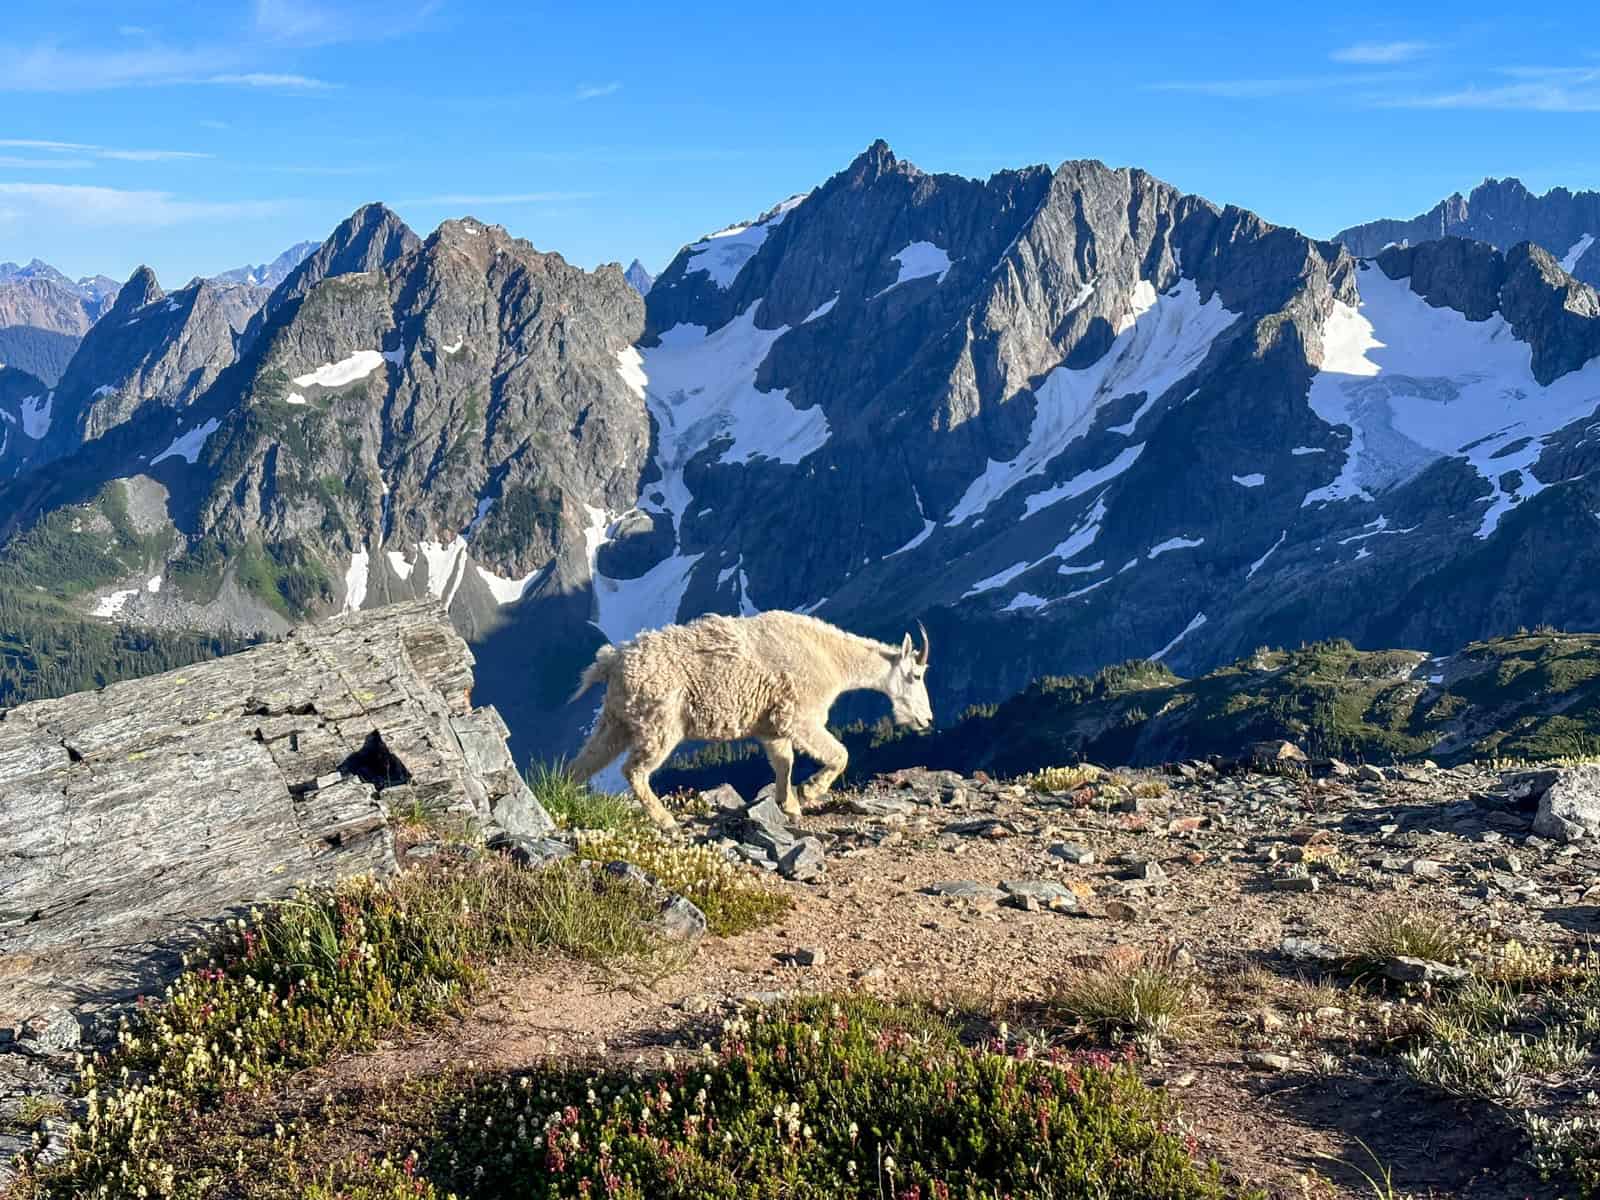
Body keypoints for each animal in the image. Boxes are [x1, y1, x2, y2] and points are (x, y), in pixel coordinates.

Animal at [569, 614, 934, 832]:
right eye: (916, 676)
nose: (927, 719)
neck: (831, 659)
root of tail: (612, 662)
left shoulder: (772, 727)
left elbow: (784, 762)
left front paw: (789, 805)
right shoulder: (801, 716)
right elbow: (839, 754)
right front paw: (809, 791)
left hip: (617, 720)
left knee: (584, 763)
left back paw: (568, 799)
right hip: (660, 722)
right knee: (633, 770)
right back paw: (666, 819)